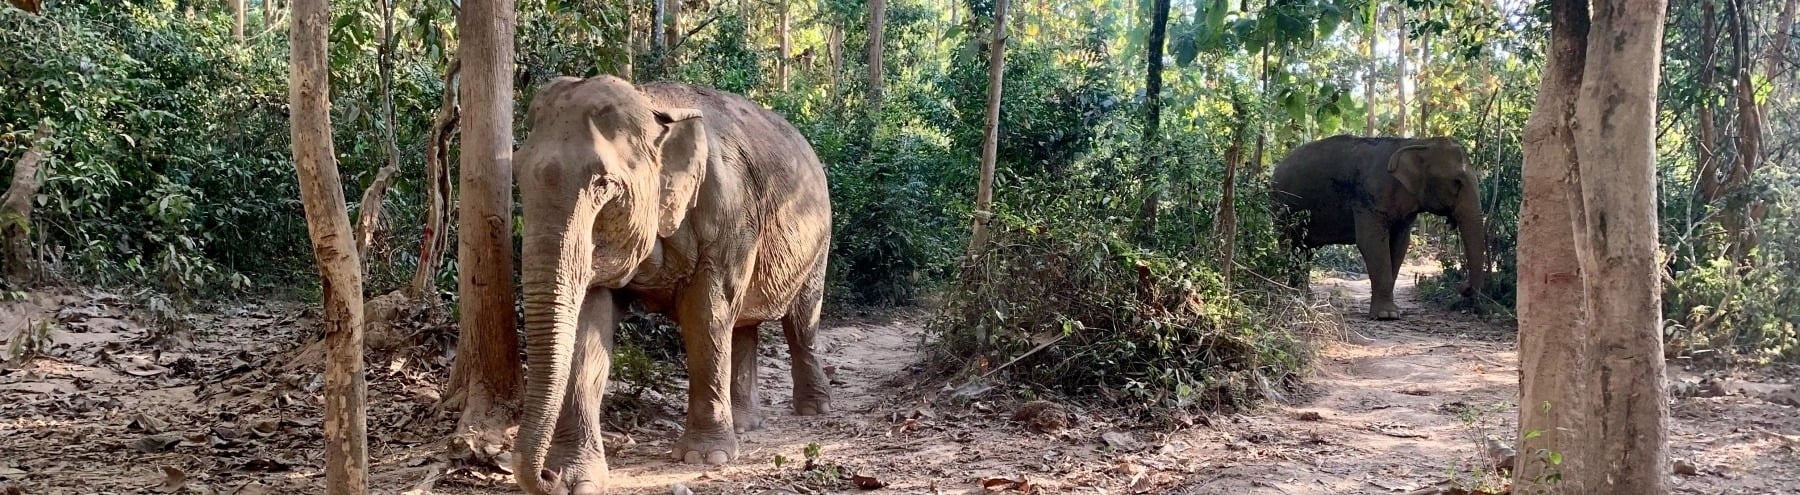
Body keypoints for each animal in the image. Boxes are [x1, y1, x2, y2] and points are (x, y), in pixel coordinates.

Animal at [514, 74, 835, 495]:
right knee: (743, 325)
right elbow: (588, 324)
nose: (546, 478)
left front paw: (705, 457)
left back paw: (814, 409)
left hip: (818, 243)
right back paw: (745, 424)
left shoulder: (728, 217)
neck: (653, 107)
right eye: (517, 178)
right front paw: (574, 477)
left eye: (604, 185)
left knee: (801, 322)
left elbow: (706, 316)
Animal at [1267, 135, 1490, 322]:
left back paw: (1306, 297)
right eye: (1457, 182)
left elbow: (1400, 245)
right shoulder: (1369, 200)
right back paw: (1296, 296)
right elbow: (1371, 242)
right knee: (1291, 245)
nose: (1462, 286)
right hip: (1281, 208)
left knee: (1305, 250)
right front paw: (1386, 316)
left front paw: (1390, 312)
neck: (1416, 143)